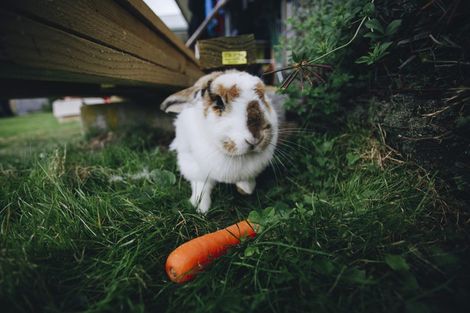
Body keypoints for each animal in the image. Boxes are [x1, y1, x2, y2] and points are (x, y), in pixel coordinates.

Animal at [162, 70, 280, 213]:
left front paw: (246, 189)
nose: (256, 137)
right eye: (218, 101)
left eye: (262, 98)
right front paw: (200, 208)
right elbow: (201, 186)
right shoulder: (194, 166)